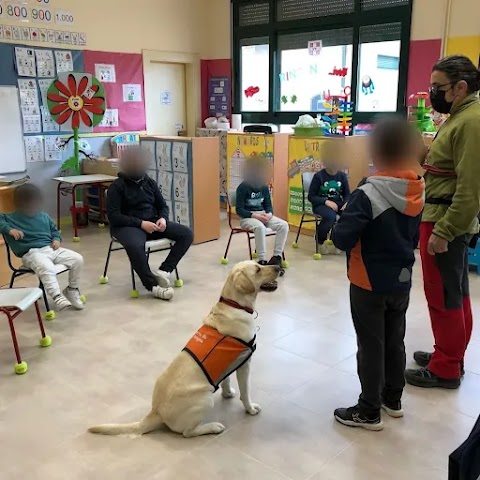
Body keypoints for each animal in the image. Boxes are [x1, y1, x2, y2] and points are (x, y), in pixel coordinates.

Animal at [88, 260, 280, 436]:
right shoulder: (245, 363)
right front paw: (250, 409)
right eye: (258, 269)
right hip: (205, 399)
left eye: (259, 264)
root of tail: (156, 411)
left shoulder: (231, 362)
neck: (234, 305)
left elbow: (226, 380)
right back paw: (213, 427)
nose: (278, 267)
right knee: (188, 432)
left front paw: (227, 393)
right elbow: (245, 392)